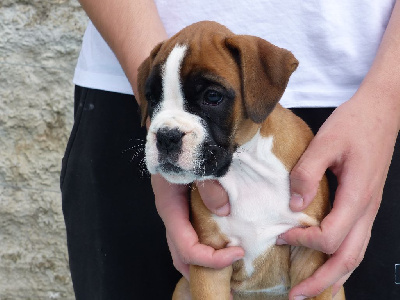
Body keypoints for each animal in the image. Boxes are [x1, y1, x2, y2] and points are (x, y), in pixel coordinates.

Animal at [137, 21, 344, 300]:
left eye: (213, 97)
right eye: (151, 98)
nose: (167, 136)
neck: (245, 167)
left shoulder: (309, 255)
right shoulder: (211, 260)